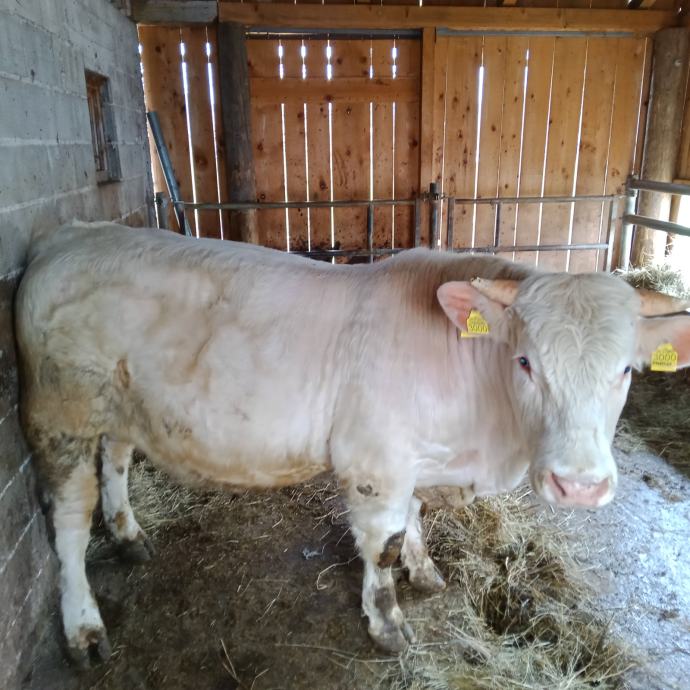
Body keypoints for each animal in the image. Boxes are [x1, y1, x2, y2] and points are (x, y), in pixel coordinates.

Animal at [14, 221, 690, 666]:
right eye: (526, 362)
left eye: (625, 371)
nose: (579, 485)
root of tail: (69, 235)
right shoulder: (376, 463)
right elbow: (382, 544)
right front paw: (387, 621)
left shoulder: (414, 461)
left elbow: (413, 519)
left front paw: (426, 570)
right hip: (58, 411)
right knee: (67, 521)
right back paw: (83, 628)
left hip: (116, 405)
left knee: (115, 458)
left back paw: (129, 535)